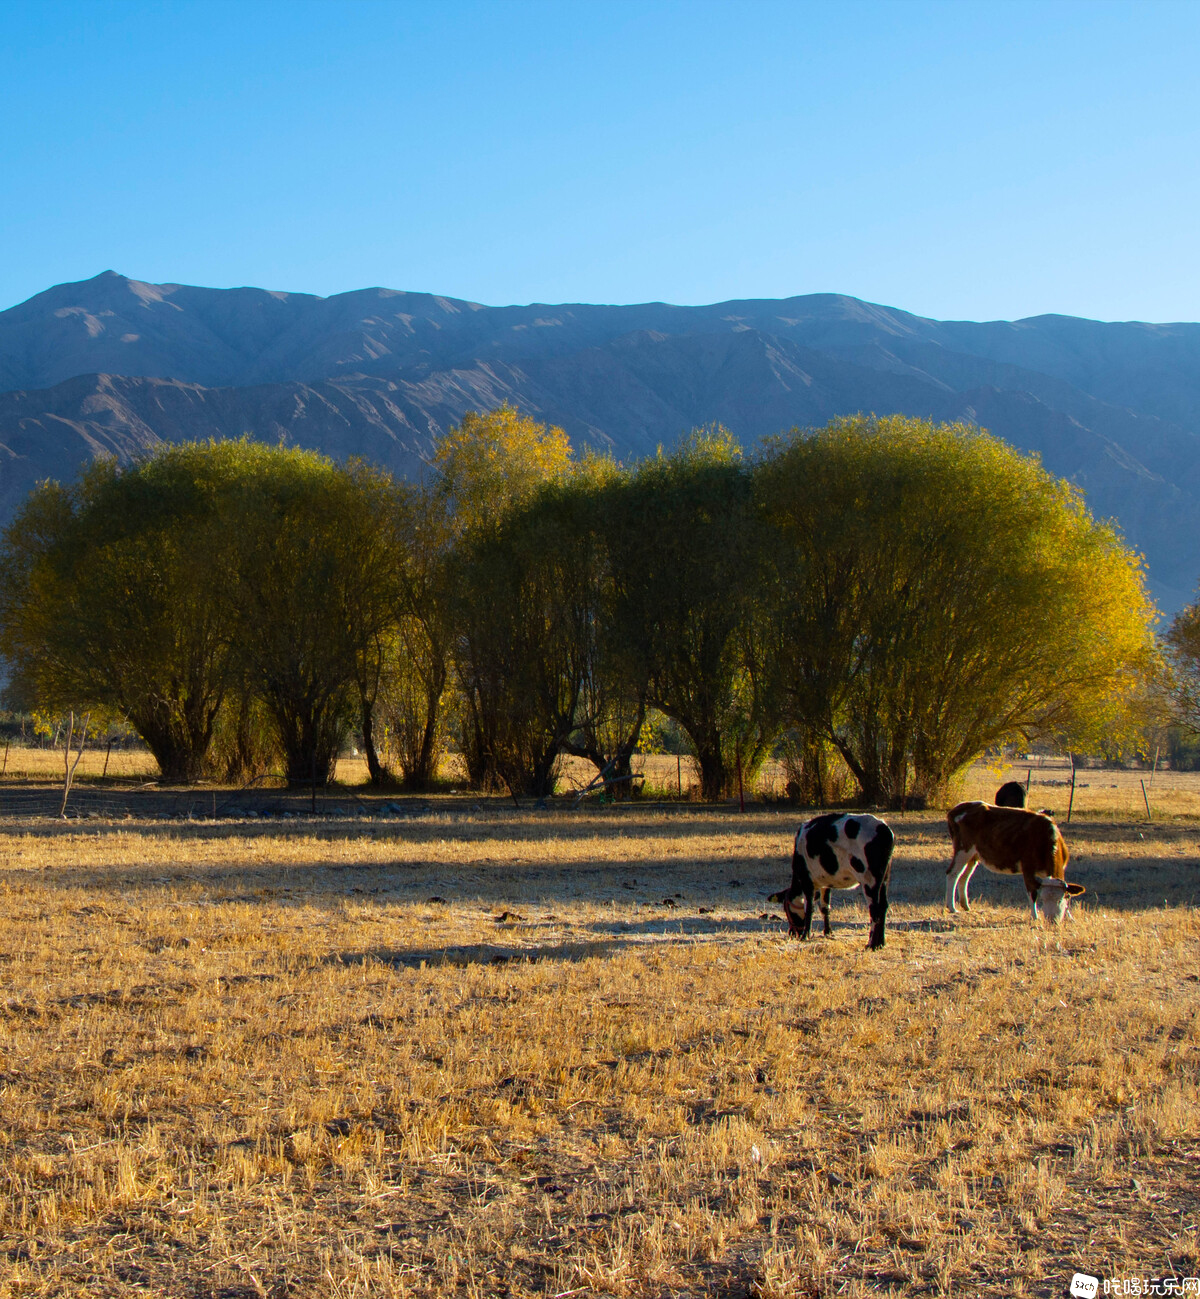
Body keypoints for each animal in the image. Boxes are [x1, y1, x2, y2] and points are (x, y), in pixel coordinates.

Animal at [768, 815, 888, 950]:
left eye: (786, 909)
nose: (792, 933)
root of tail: (883, 828)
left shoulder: (807, 881)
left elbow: (809, 908)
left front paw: (805, 935)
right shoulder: (825, 884)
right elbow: (825, 907)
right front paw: (827, 931)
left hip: (869, 880)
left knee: (875, 910)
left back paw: (871, 944)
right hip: (883, 880)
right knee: (883, 907)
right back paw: (881, 943)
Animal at [945, 800, 1085, 924]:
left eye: (1062, 899)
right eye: (1043, 899)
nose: (1052, 920)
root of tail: (957, 809)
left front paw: (1070, 917)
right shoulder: (1028, 867)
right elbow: (1032, 892)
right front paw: (1035, 917)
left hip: (974, 855)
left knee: (964, 876)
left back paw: (966, 906)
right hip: (963, 849)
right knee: (953, 873)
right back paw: (952, 907)